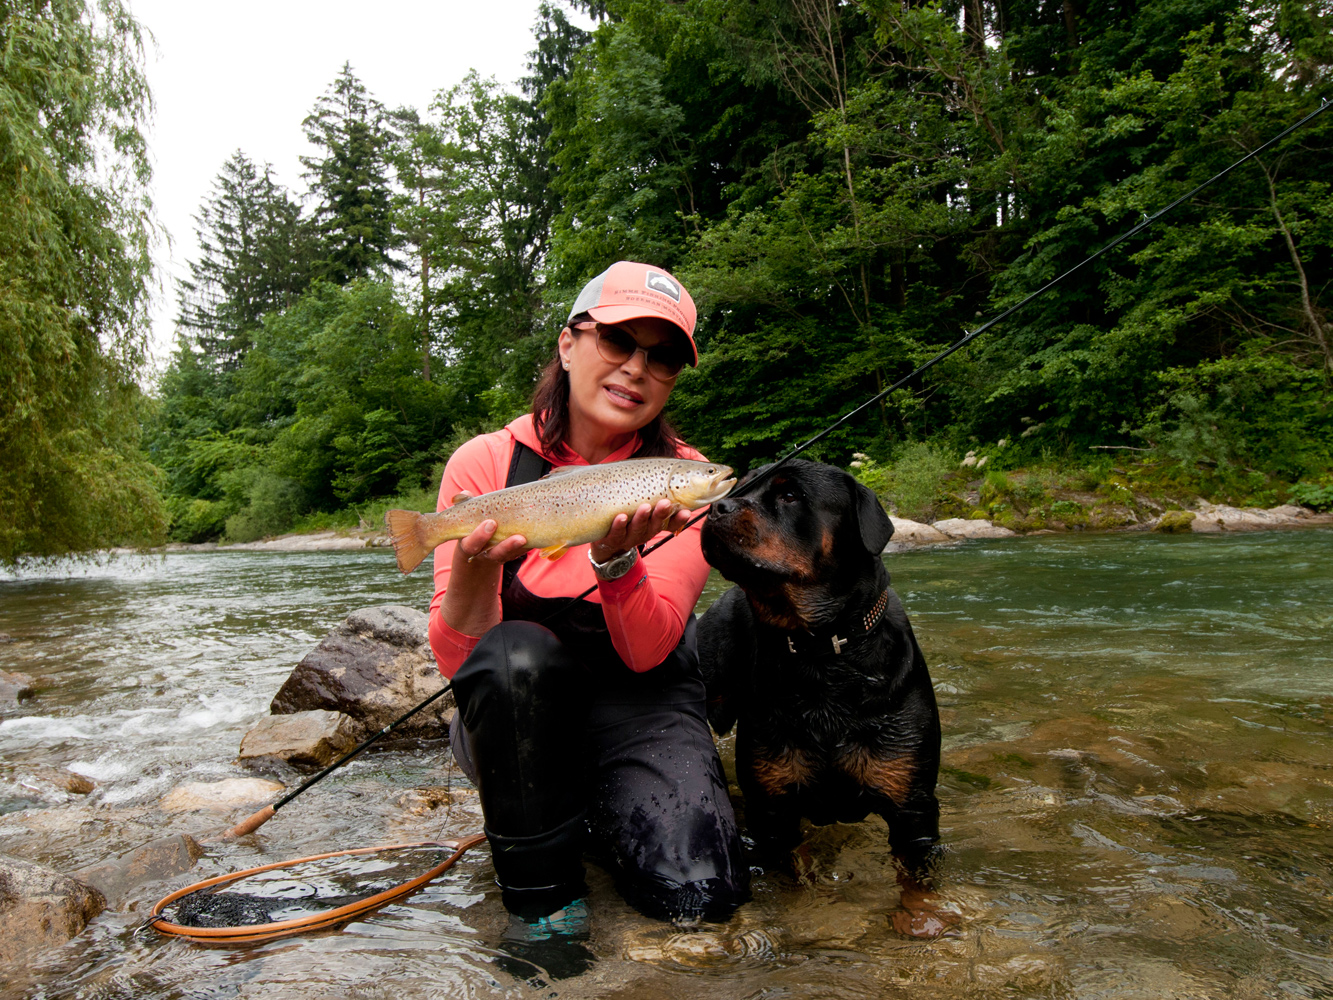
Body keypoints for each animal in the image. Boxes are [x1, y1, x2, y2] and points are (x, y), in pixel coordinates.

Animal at [703, 461, 943, 922]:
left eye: (790, 495)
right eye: (742, 486)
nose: (715, 507)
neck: (821, 651)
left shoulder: (914, 808)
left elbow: (918, 877)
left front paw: (922, 919)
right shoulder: (770, 807)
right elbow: (788, 867)